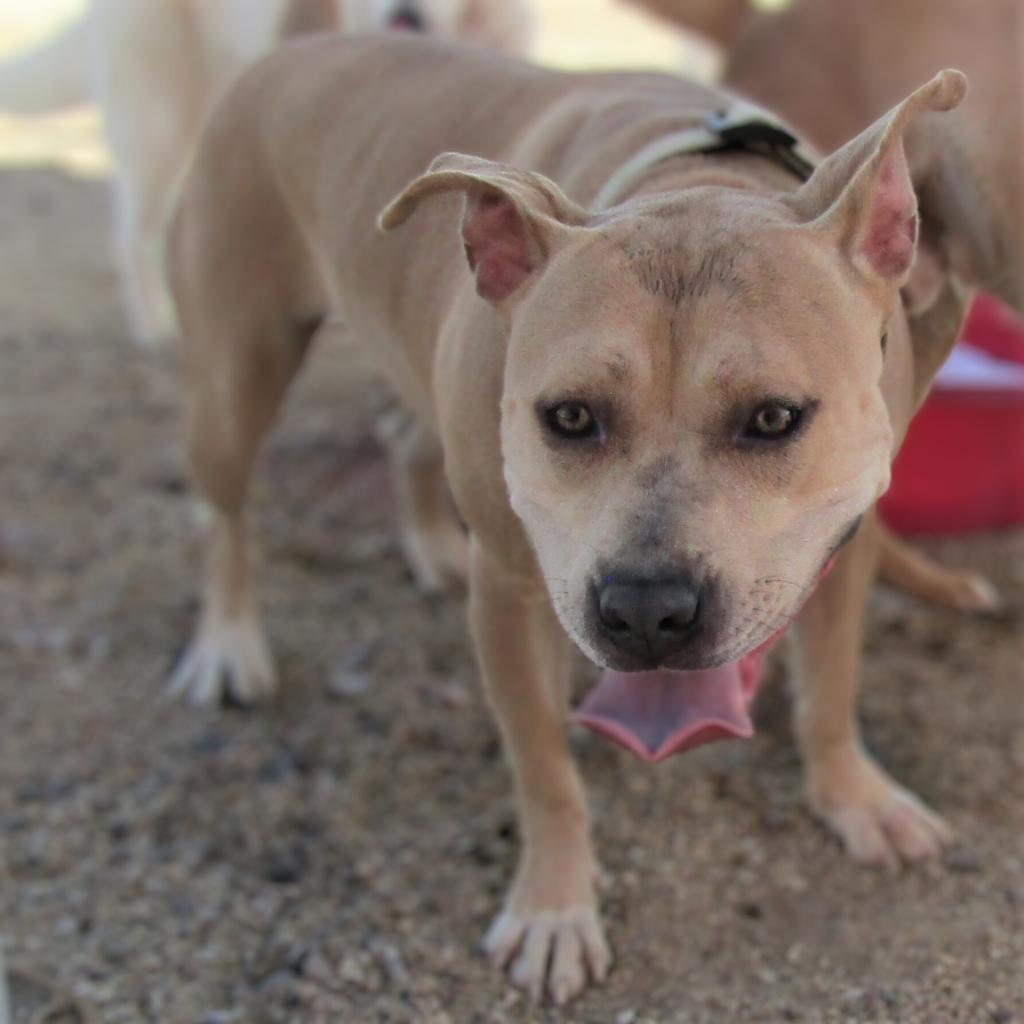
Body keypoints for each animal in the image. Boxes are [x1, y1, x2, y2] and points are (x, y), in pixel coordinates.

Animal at [172, 37, 978, 999]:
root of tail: (293, 50)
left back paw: (430, 545)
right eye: (568, 416)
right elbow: (545, 766)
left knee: (402, 436)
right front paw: (555, 908)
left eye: (776, 417)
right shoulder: (513, 593)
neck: (690, 181)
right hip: (234, 376)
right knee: (223, 514)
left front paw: (856, 797)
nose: (647, 611)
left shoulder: (843, 549)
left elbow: (832, 690)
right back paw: (227, 643)